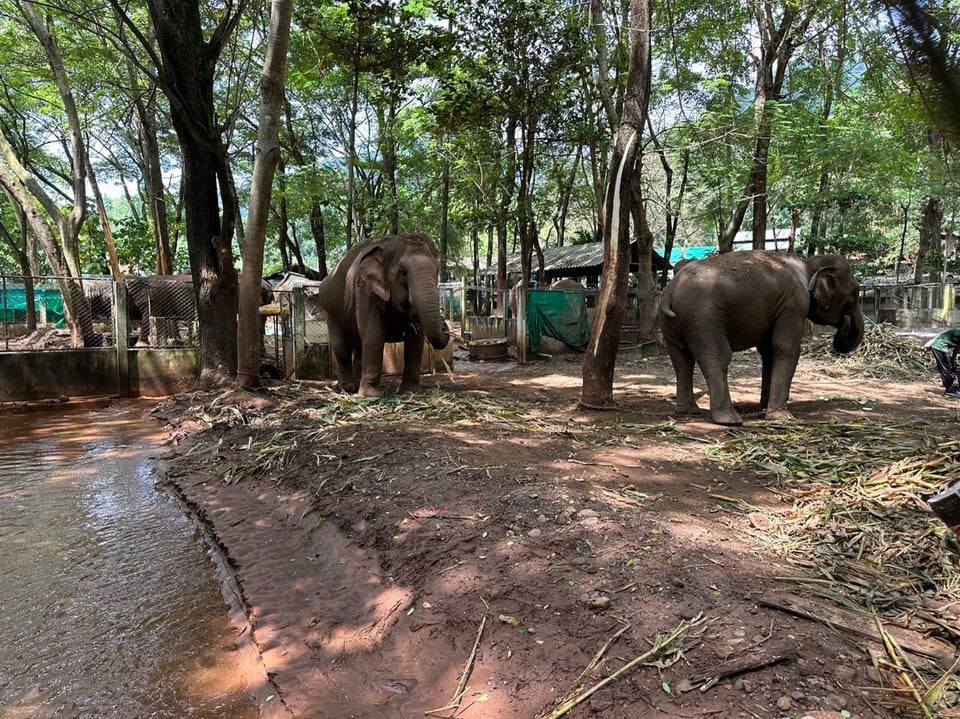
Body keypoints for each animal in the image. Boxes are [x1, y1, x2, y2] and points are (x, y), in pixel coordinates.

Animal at [314, 232, 452, 396]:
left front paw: (411, 391)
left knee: (359, 347)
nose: (444, 320)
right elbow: (374, 333)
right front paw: (370, 395)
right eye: (403, 271)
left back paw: (355, 385)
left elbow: (416, 338)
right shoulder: (366, 290)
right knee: (342, 348)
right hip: (331, 312)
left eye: (437, 270)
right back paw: (347, 389)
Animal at [656, 250, 868, 424]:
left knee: (682, 362)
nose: (845, 322)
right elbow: (786, 347)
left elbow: (768, 351)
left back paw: (689, 411)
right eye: (856, 292)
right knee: (718, 358)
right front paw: (782, 417)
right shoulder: (795, 302)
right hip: (704, 320)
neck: (810, 264)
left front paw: (764, 408)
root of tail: (669, 292)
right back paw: (730, 420)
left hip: (673, 323)